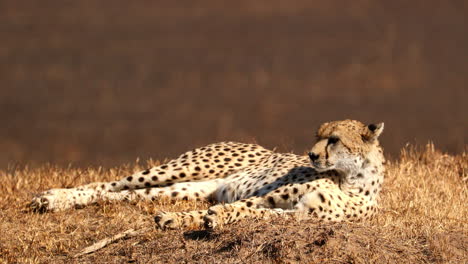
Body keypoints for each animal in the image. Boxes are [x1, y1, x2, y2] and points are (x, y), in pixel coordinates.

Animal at [31, 119, 386, 229]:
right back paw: (53, 197)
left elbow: (256, 214)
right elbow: (243, 207)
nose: (311, 155)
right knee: (108, 183)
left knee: (123, 195)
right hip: (182, 168)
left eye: (334, 139)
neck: (350, 180)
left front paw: (199, 218)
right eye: (317, 135)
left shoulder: (301, 213)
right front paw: (208, 218)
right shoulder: (269, 196)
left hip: (188, 187)